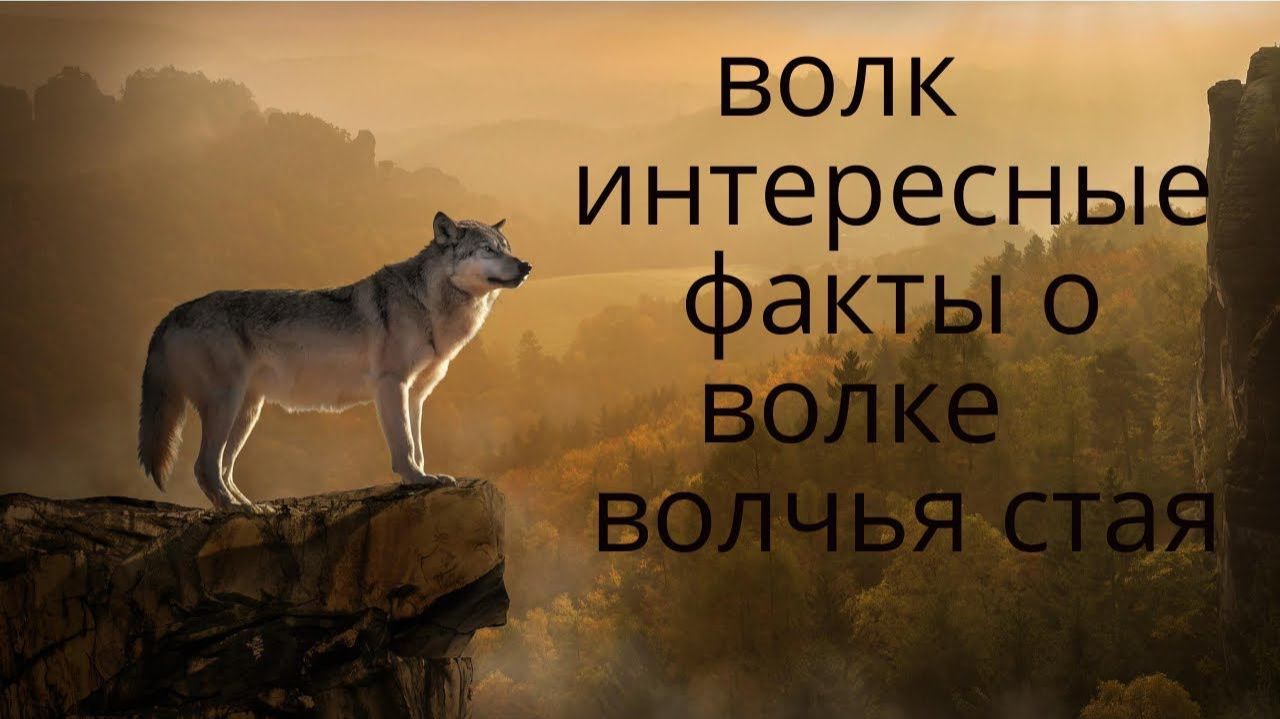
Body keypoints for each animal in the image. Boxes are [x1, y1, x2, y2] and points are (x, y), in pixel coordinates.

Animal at [137, 212, 530, 512]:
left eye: (508, 248)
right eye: (487, 249)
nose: (527, 265)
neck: (428, 305)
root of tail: (171, 314)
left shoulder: (416, 394)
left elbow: (417, 445)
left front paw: (424, 476)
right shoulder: (392, 385)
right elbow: (404, 445)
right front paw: (416, 479)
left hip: (248, 411)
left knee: (224, 467)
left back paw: (251, 507)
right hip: (227, 405)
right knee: (205, 467)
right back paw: (237, 510)